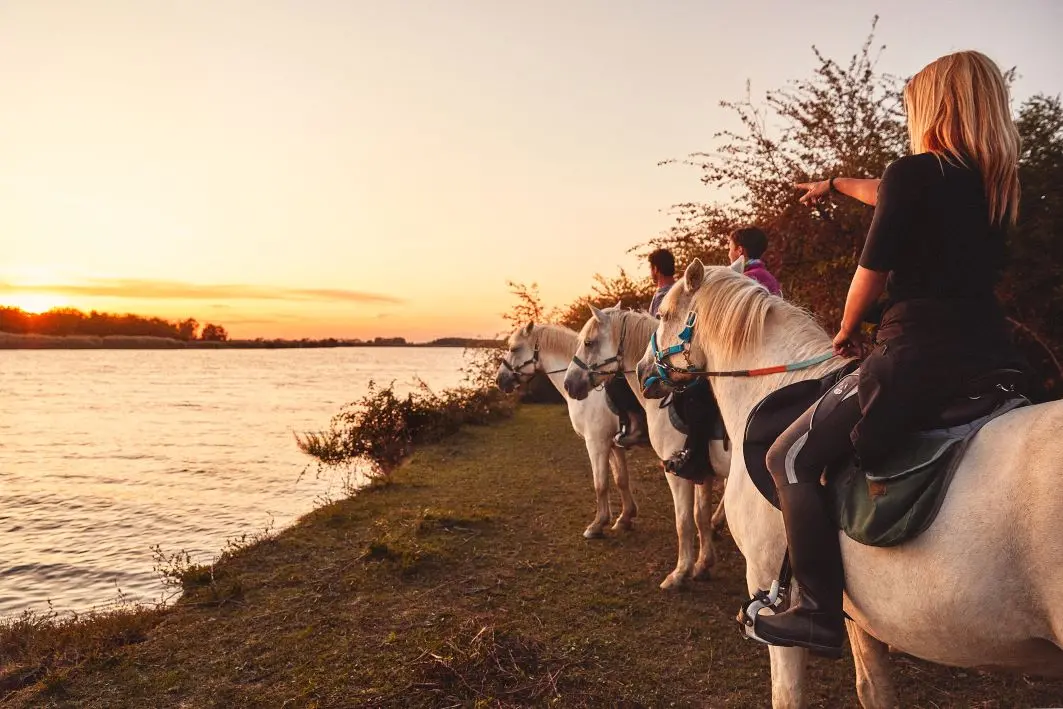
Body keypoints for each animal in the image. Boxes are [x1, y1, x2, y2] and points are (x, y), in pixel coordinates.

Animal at [565, 308, 731, 591]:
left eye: (588, 342)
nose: (569, 384)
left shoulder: (675, 472)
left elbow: (684, 521)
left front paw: (680, 573)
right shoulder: (702, 473)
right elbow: (700, 516)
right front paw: (703, 565)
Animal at [637, 258, 1063, 705]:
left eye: (663, 314)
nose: (643, 371)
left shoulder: (768, 580)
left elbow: (787, 692)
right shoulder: (857, 610)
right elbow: (873, 688)